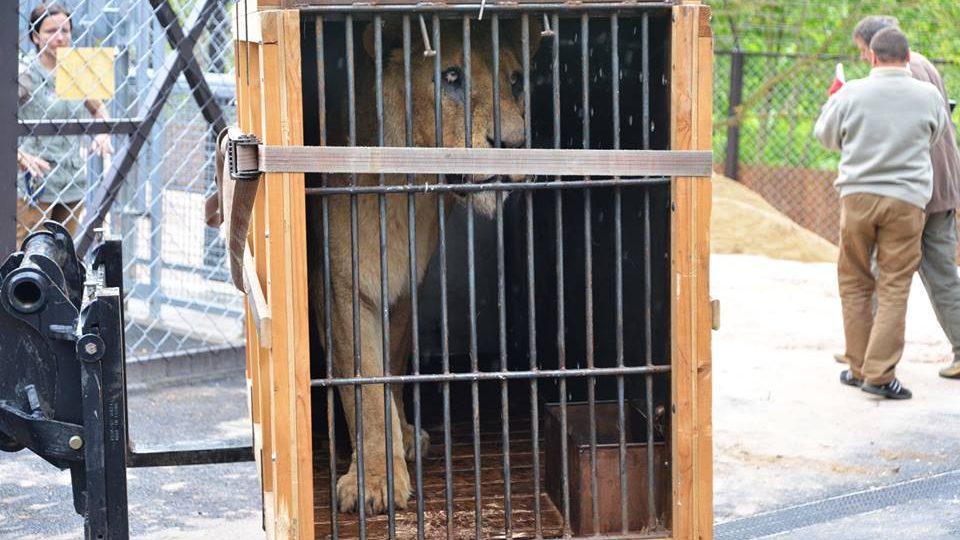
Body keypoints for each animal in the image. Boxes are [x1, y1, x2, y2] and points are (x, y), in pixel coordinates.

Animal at [312, 17, 544, 516]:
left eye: (516, 81)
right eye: (452, 76)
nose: (514, 145)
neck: (405, 191)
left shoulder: (404, 290)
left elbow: (393, 369)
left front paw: (401, 434)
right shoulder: (342, 290)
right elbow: (367, 386)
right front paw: (375, 482)